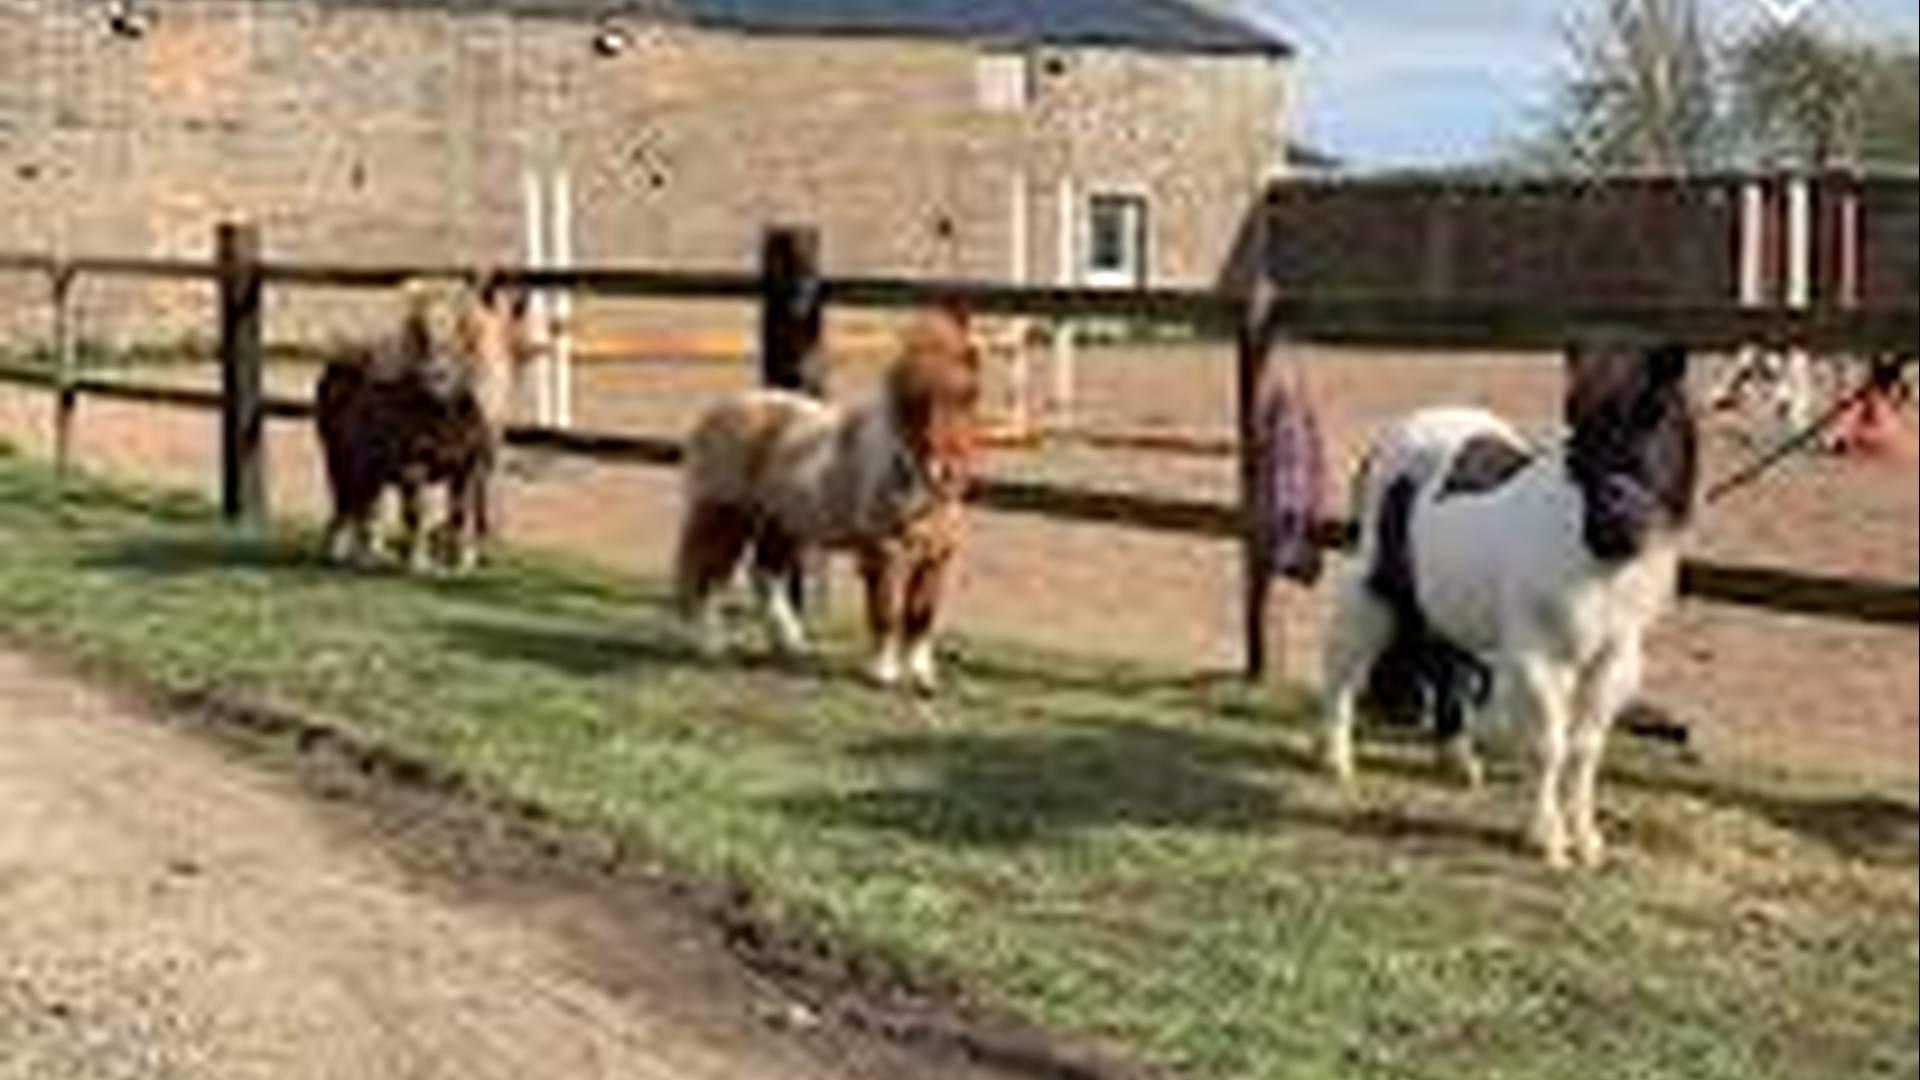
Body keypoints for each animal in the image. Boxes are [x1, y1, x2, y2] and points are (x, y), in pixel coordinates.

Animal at [312, 272, 529, 568]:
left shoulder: (467, 465)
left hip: (370, 464)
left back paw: (372, 552)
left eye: (458, 334)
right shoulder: (413, 463)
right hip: (338, 455)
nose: (434, 376)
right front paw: (418, 560)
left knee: (367, 505)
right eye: (420, 335)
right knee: (344, 501)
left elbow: (459, 511)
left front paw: (460, 559)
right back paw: (341, 551)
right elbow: (417, 512)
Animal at [675, 305, 983, 687]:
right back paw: (711, 646)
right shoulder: (883, 552)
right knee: (710, 578)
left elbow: (920, 615)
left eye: (968, 396)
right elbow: (885, 609)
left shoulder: (937, 556)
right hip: (727, 516)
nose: (942, 471)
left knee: (765, 577)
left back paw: (792, 645)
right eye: (913, 402)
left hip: (781, 522)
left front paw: (922, 677)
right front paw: (882, 672)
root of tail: (717, 411)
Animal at [1320, 336, 1697, 864]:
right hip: (1373, 582)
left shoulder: (1612, 659)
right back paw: (1337, 760)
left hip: (1444, 601)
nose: (1612, 533)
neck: (1595, 568)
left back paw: (1457, 761)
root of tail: (1405, 430)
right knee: (1345, 665)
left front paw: (1588, 841)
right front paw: (1548, 840)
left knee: (1445, 660)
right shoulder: (1538, 654)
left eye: (1656, 416)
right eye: (1578, 437)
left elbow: (1585, 749)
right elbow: (1549, 745)